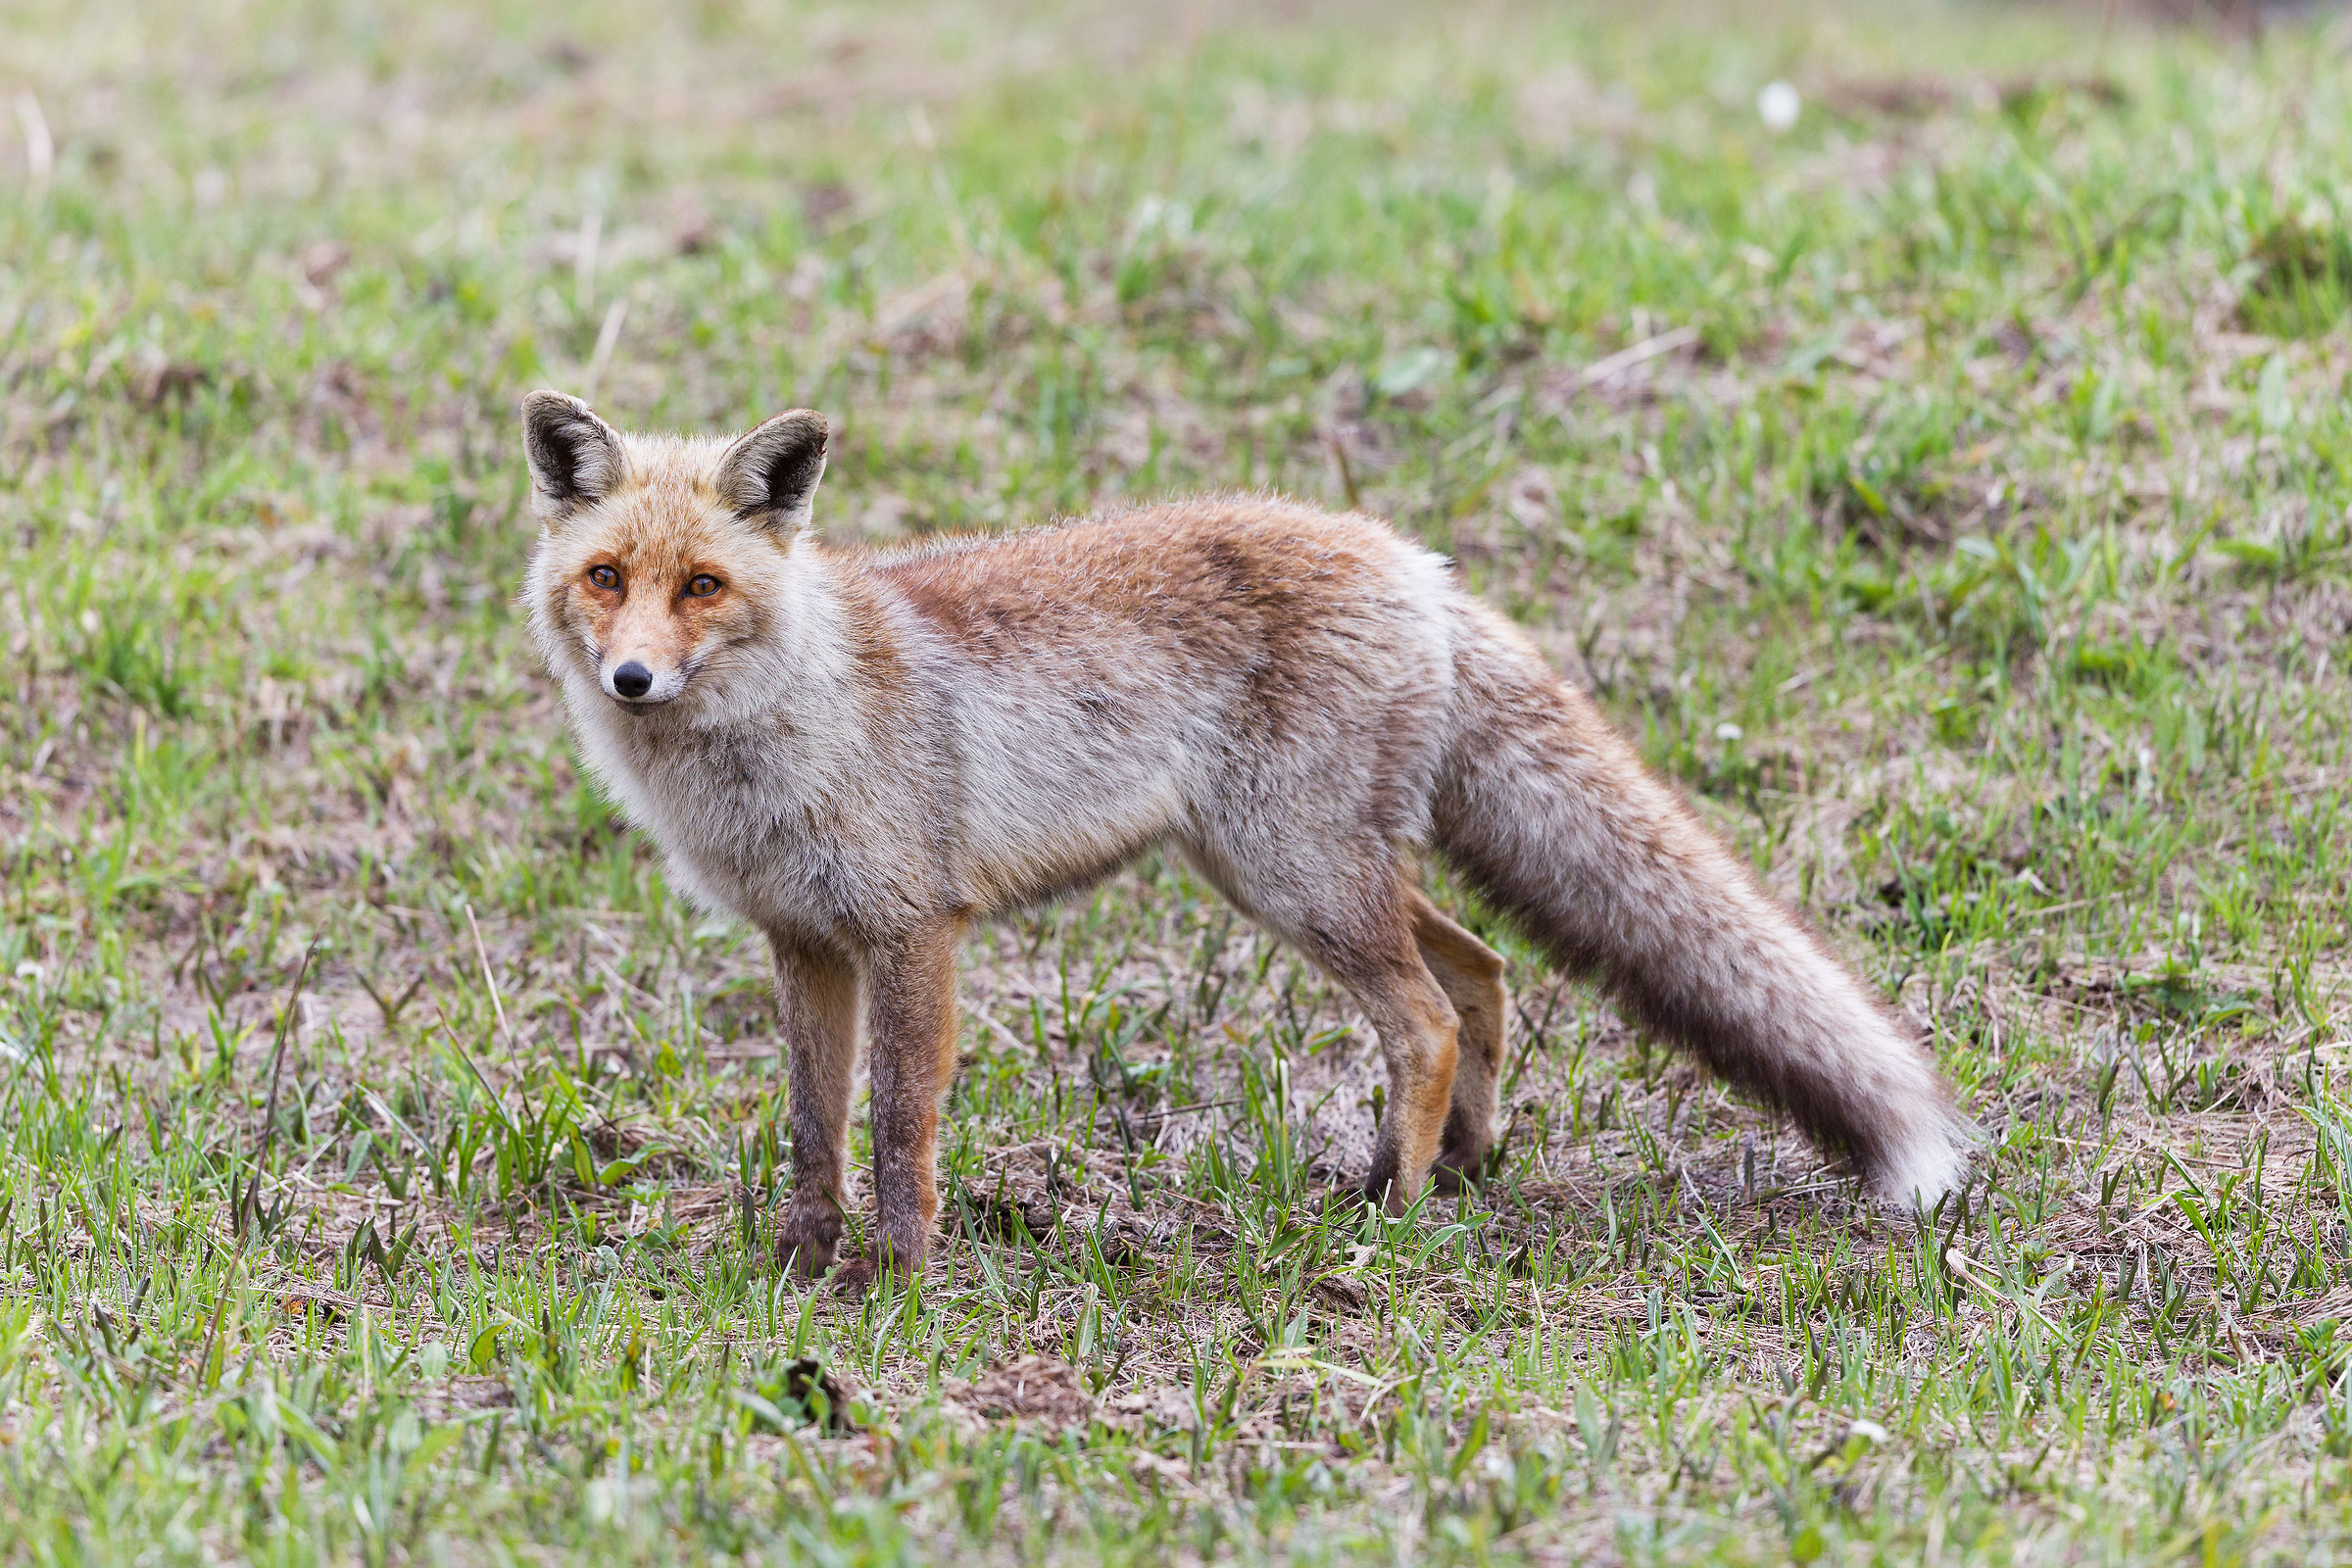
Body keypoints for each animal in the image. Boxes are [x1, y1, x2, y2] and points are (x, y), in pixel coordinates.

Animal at [519, 390, 1973, 1290]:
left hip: (1296, 875)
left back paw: (1395, 1212)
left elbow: (896, 1127)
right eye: (608, 579)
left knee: (1425, 1017)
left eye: (703, 586)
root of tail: (1414, 561)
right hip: (1291, 869)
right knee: (1482, 972)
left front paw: (901, 1277)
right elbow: (814, 1123)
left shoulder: (914, 930)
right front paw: (801, 1262)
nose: (633, 680)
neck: (780, 734)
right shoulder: (806, 942)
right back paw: (1461, 1166)